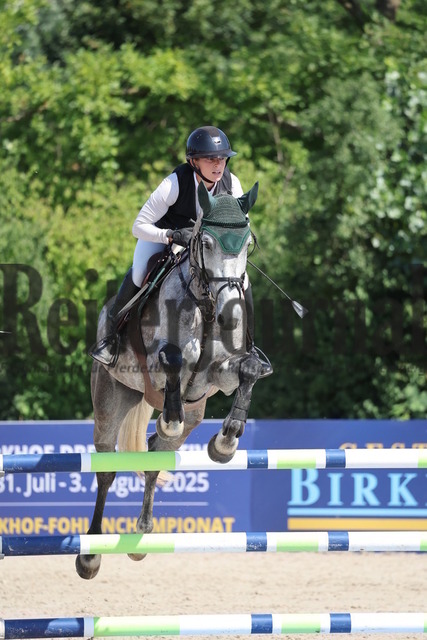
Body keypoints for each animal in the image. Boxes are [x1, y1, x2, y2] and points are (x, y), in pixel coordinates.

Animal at [76, 180, 263, 580]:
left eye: (247, 244)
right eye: (205, 243)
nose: (229, 314)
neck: (206, 303)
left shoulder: (219, 374)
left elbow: (249, 371)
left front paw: (226, 442)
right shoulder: (159, 359)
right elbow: (174, 358)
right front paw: (172, 418)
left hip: (193, 414)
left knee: (154, 455)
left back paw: (141, 537)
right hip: (110, 399)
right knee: (106, 470)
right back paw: (90, 556)